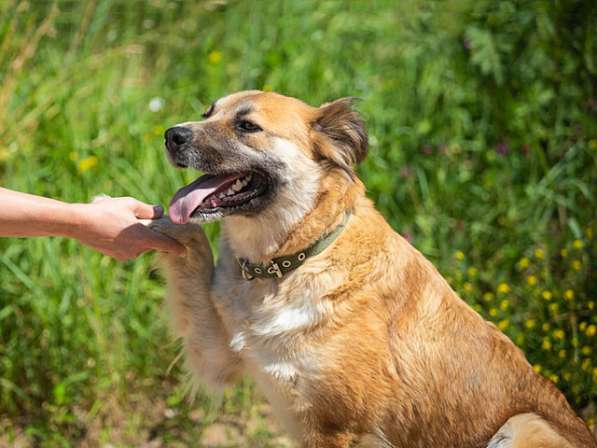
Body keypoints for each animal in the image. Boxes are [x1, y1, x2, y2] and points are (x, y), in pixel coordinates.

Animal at [150, 89, 596, 446]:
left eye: (247, 126)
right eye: (207, 112)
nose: (172, 135)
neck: (290, 264)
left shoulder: (335, 428)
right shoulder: (219, 358)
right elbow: (191, 249)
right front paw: (155, 224)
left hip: (523, 425)